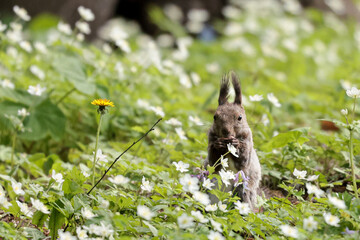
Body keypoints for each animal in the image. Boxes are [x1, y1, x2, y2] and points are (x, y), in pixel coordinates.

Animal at [205, 71, 262, 208]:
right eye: (215, 116)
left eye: (240, 117)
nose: (226, 132)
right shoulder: (211, 139)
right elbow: (213, 162)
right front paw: (218, 145)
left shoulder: (248, 142)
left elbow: (243, 161)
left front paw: (236, 144)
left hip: (242, 189)